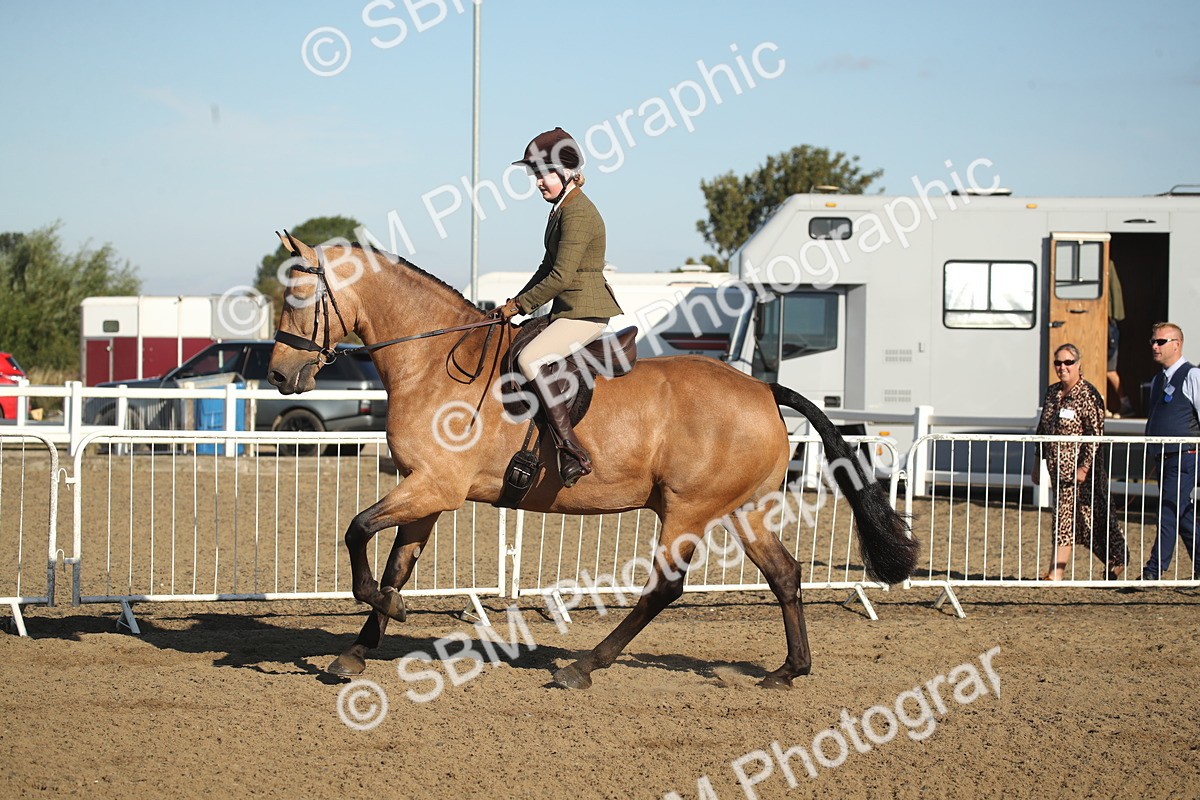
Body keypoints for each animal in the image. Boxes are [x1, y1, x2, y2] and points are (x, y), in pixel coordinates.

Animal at [266, 234, 918, 690]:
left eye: (298, 296)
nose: (277, 375)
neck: (434, 360)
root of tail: (762, 388)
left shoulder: (435, 488)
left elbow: (356, 532)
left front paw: (387, 612)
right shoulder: (424, 491)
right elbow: (396, 564)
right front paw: (358, 647)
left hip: (687, 509)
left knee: (665, 588)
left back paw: (584, 665)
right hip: (743, 509)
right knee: (785, 574)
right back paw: (789, 670)